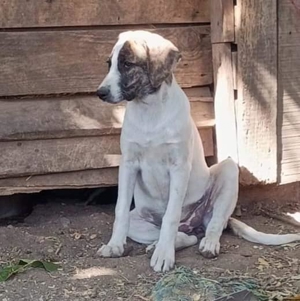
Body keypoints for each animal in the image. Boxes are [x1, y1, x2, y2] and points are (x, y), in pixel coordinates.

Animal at [96, 30, 300, 272]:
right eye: (109, 64)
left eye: (127, 64)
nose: (100, 93)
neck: (150, 111)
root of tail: (193, 224)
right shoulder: (127, 164)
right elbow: (120, 210)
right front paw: (115, 246)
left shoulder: (179, 167)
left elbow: (171, 215)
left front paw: (164, 255)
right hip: (139, 221)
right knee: (184, 235)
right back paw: (158, 244)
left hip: (229, 172)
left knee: (212, 225)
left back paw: (205, 244)